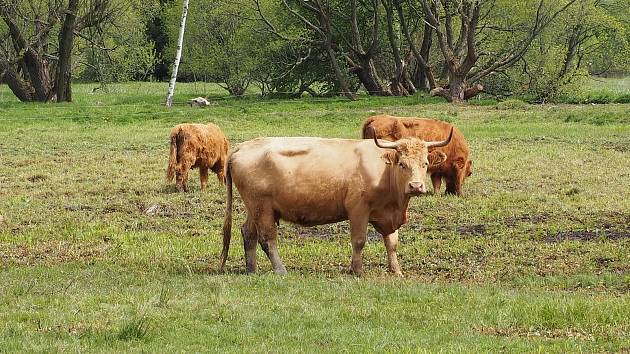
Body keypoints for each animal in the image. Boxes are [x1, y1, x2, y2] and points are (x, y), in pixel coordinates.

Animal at [220, 129, 452, 276]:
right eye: (402, 164)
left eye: (425, 163)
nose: (416, 186)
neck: (384, 172)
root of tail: (242, 147)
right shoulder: (358, 210)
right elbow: (359, 241)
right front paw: (356, 270)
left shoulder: (388, 214)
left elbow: (392, 243)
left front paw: (396, 271)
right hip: (263, 208)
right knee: (267, 239)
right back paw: (280, 269)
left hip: (254, 208)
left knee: (248, 233)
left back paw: (251, 269)